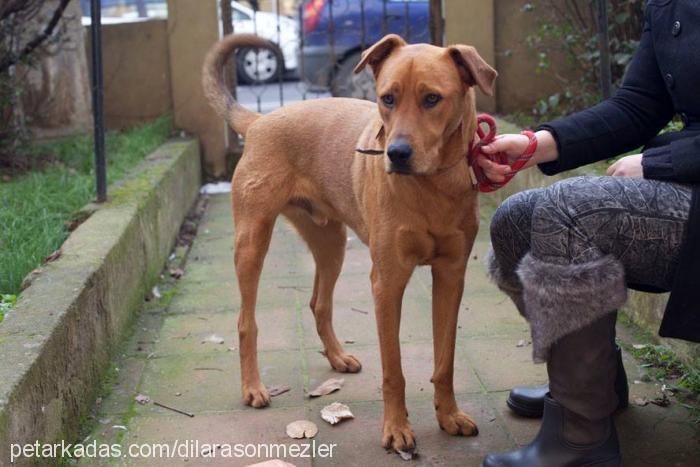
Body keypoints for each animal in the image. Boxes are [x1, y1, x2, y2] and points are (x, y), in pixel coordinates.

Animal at [202, 32, 498, 454]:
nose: (396, 154)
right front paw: (396, 429)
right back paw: (253, 387)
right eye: (387, 98)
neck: (432, 186)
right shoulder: (387, 282)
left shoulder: (450, 276)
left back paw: (338, 357)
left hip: (332, 244)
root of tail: (260, 121)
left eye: (432, 99)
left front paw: (449, 416)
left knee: (319, 303)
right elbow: (394, 369)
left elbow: (445, 362)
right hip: (252, 242)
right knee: (247, 321)